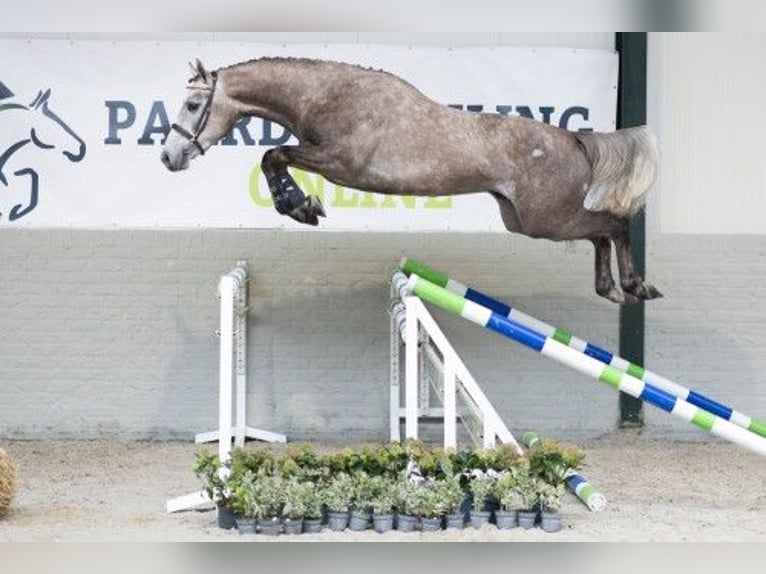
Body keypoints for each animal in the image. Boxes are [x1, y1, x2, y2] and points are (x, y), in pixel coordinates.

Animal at [160, 57, 660, 306]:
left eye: (192, 105)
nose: (169, 156)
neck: (330, 95)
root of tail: (575, 139)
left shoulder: (341, 162)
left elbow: (273, 155)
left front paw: (300, 207)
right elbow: (274, 157)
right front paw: (301, 206)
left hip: (546, 219)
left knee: (613, 225)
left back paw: (634, 286)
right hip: (523, 220)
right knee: (600, 233)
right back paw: (610, 288)